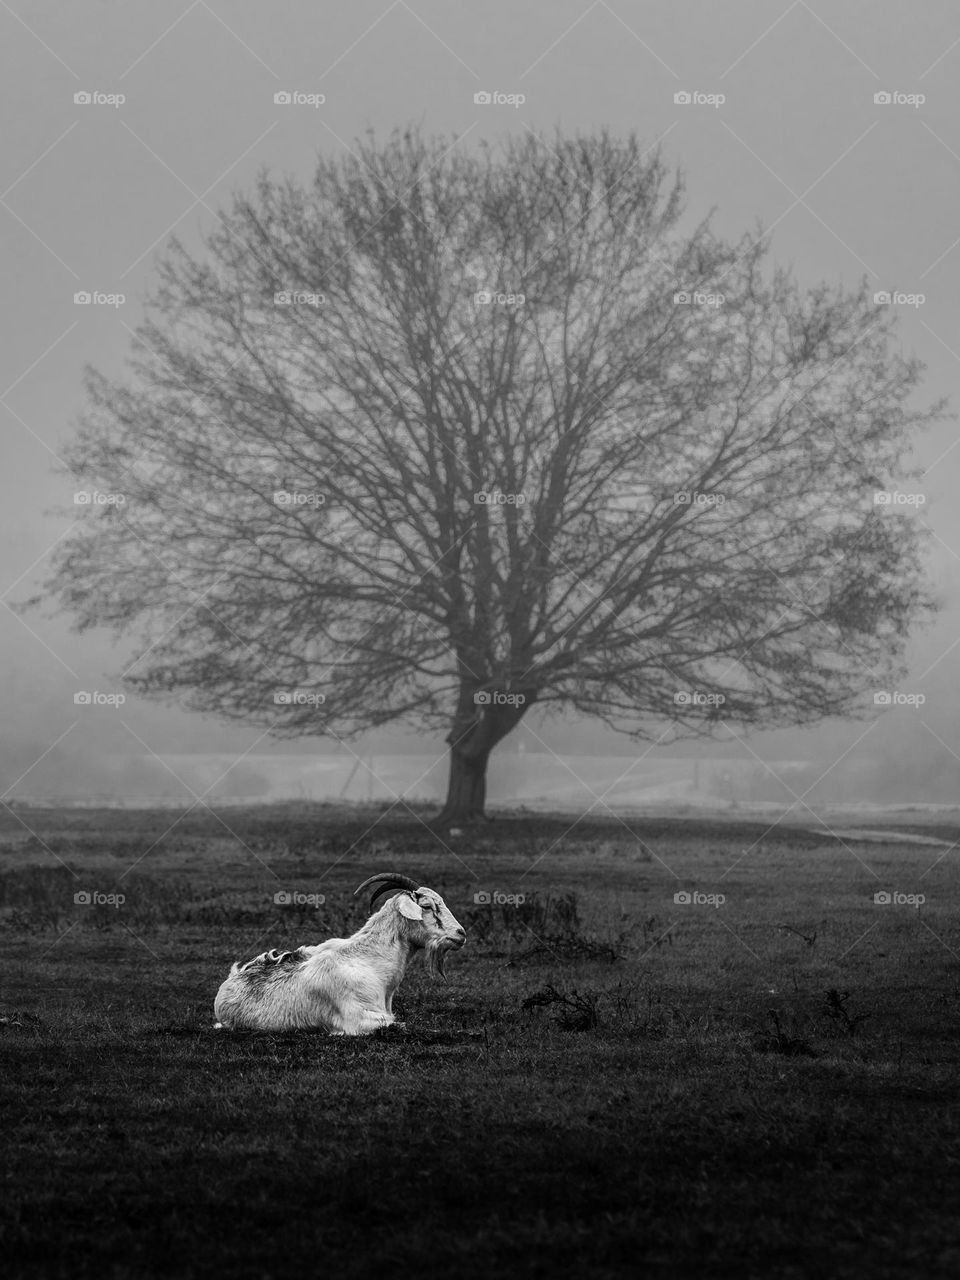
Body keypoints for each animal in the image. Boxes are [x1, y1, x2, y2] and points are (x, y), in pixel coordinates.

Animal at [213, 873, 466, 1035]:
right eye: (427, 906)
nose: (460, 933)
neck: (371, 963)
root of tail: (233, 978)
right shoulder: (357, 1019)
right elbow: (398, 1024)